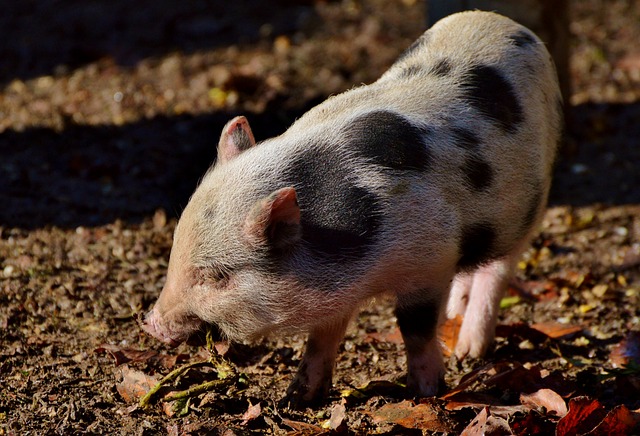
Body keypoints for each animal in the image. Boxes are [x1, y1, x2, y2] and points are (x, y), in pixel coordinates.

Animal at [142, 10, 564, 404]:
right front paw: (297, 397)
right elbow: (322, 336)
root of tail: (506, 23)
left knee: (497, 269)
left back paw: (469, 351)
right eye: (175, 250)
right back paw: (456, 317)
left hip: (526, 206)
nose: (151, 325)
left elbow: (415, 327)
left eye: (217, 277)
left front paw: (425, 391)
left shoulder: (431, 259)